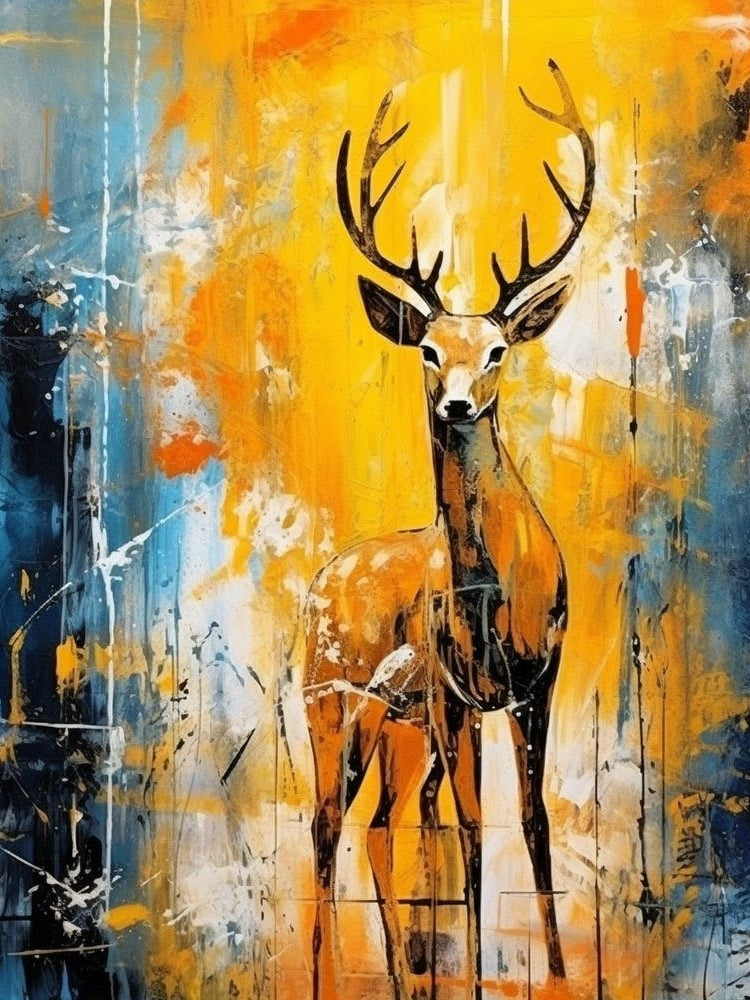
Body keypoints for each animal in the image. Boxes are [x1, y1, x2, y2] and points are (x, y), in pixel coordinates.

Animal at [303, 60, 595, 1000]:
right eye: (429, 350)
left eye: (497, 350)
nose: (459, 403)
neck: (499, 590)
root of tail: (321, 578)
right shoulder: (460, 694)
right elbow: (473, 829)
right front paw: (472, 976)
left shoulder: (540, 677)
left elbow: (531, 821)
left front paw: (560, 972)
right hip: (331, 701)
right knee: (326, 823)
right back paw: (325, 974)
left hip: (400, 729)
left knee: (382, 824)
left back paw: (403, 976)